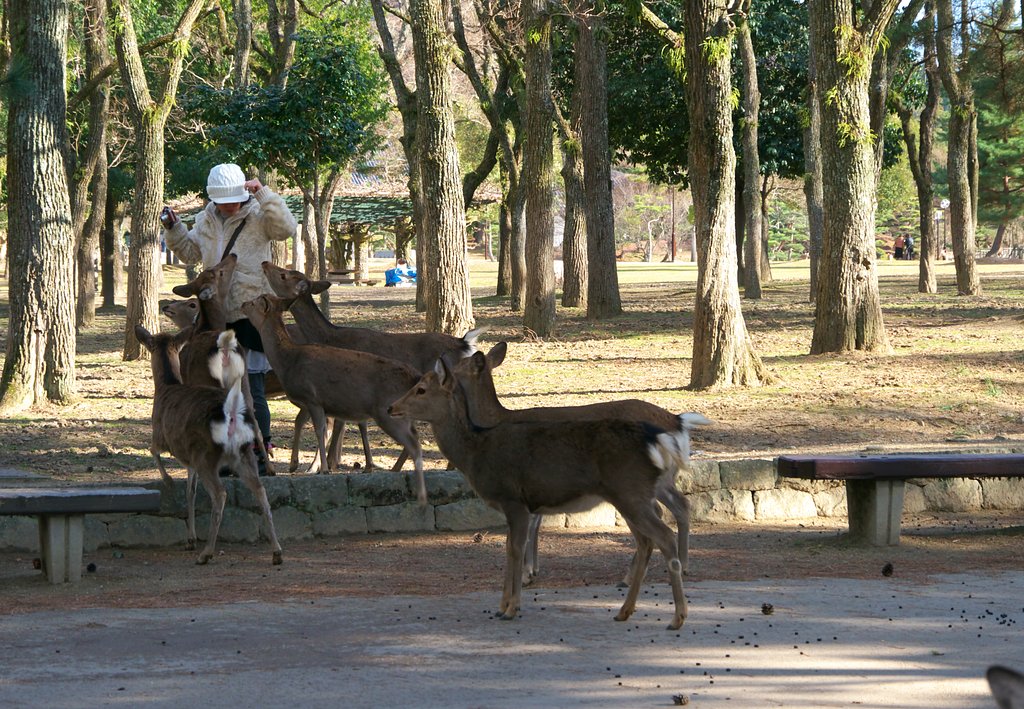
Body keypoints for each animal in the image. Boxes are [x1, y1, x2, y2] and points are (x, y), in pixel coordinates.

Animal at [136, 325, 283, 566]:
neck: (167, 387)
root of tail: (231, 414)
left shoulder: (160, 434)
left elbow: (153, 451)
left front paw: (168, 482)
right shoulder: (189, 459)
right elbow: (191, 491)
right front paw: (190, 539)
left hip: (206, 455)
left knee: (220, 494)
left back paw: (206, 553)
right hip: (242, 453)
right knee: (260, 489)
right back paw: (277, 552)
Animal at [240, 294, 427, 503]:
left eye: (254, 302)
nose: (242, 304)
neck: (288, 361)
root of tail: (415, 376)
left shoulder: (312, 397)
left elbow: (319, 430)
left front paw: (323, 469)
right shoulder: (311, 404)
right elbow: (307, 425)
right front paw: (295, 464)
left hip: (386, 411)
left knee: (413, 441)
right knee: (414, 438)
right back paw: (395, 470)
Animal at [261, 261, 484, 472]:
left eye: (283, 274)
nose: (265, 263)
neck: (331, 337)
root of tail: (464, 344)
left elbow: (344, 424)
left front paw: (330, 464)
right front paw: (347, 464)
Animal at [388, 359, 692, 630]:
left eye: (421, 389)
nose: (392, 407)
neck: (475, 453)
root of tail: (661, 438)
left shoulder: (513, 499)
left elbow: (515, 549)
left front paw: (511, 608)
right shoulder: (515, 506)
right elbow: (508, 548)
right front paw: (502, 605)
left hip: (630, 492)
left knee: (664, 535)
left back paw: (677, 617)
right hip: (630, 495)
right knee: (647, 539)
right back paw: (624, 611)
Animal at [452, 342, 710, 585]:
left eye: (456, 367)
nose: (444, 375)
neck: (496, 421)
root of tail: (678, 421)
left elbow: (531, 525)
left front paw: (526, 573)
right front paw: (533, 570)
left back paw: (635, 575)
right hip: (662, 478)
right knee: (680, 505)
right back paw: (682, 566)